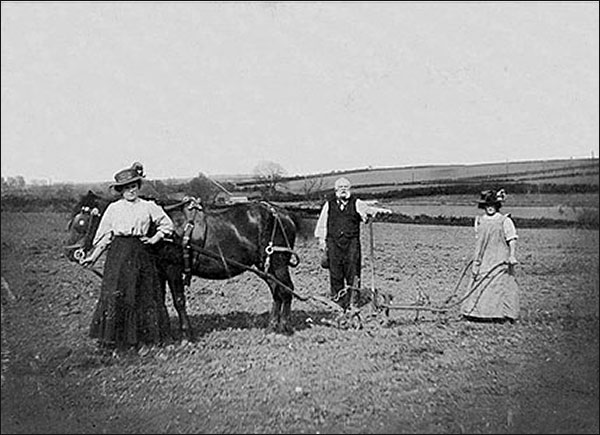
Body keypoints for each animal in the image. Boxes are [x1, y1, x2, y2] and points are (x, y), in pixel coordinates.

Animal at [63, 193, 302, 340]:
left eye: (80, 222)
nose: (70, 253)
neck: (161, 228)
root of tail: (283, 213)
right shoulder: (159, 270)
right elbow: (158, 299)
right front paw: (164, 332)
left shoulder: (173, 268)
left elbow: (179, 301)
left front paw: (186, 334)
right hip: (265, 265)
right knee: (277, 291)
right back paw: (272, 326)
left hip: (277, 263)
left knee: (286, 291)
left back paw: (285, 327)